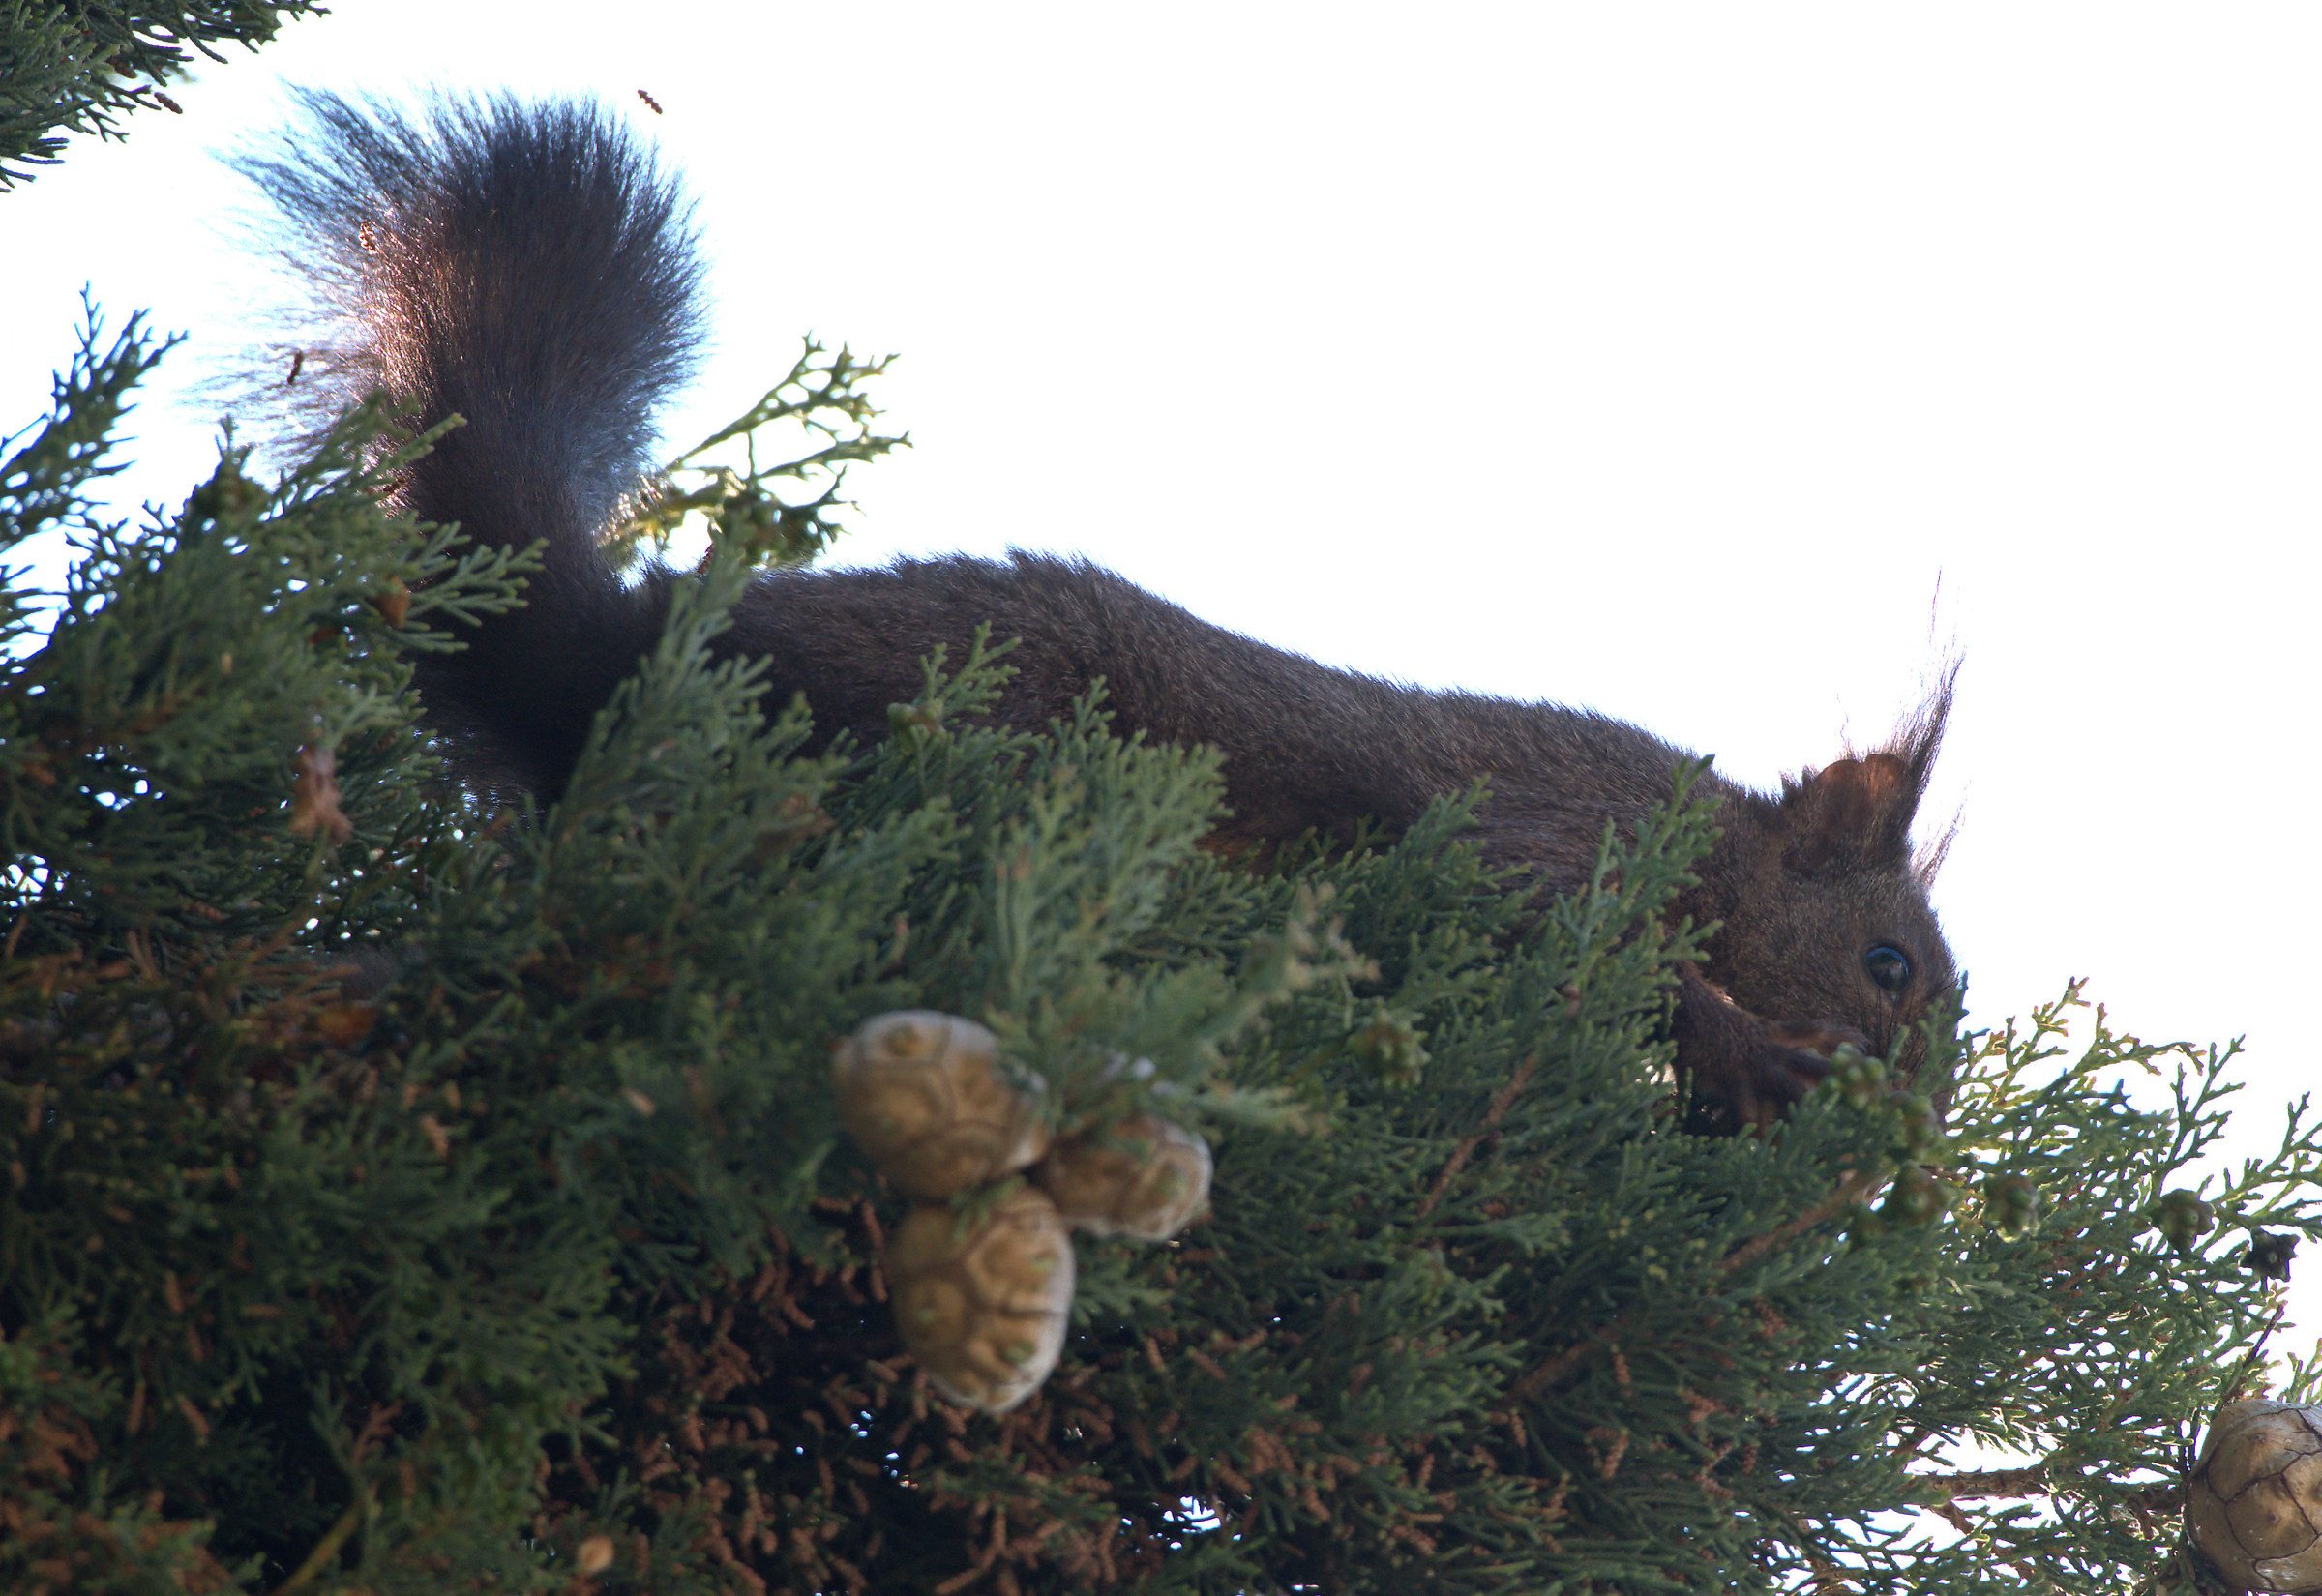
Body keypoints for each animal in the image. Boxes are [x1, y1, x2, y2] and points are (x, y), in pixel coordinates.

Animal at [241, 92, 1960, 1132]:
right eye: (1891, 965)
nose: (1916, 1125)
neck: (1707, 846)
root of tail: (648, 652)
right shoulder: (1543, 829)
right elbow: (1560, 931)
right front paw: (1752, 1049)